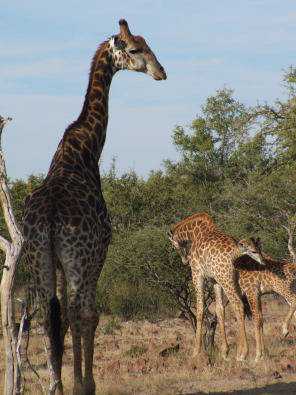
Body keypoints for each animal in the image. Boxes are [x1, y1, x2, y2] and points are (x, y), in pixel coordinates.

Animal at [22, 20, 166, 394]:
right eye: (135, 49)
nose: (161, 72)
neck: (87, 149)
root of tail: (50, 218)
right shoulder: (99, 252)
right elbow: (91, 315)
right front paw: (88, 382)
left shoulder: (58, 263)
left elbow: (61, 320)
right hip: (78, 257)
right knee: (76, 312)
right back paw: (75, 385)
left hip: (38, 260)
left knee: (49, 316)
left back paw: (55, 385)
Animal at [168, 213, 262, 362]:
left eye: (174, 245)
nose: (185, 260)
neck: (195, 233)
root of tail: (237, 253)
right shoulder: (215, 280)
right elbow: (219, 310)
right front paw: (225, 352)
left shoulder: (197, 274)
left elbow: (200, 309)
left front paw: (196, 351)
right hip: (234, 280)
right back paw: (244, 352)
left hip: (226, 279)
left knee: (238, 305)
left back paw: (243, 353)